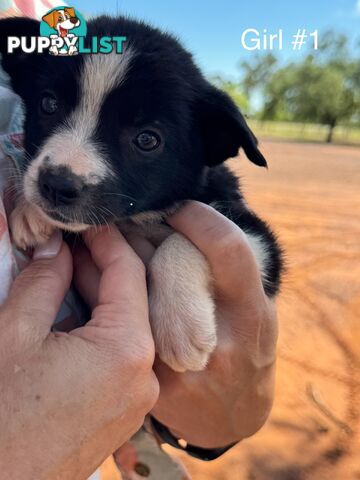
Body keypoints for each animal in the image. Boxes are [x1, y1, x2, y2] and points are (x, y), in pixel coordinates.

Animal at [0, 15, 282, 372]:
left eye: (147, 139)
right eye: (48, 104)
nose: (56, 185)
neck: (138, 219)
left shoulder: (258, 239)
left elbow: (180, 242)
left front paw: (181, 323)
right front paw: (29, 211)